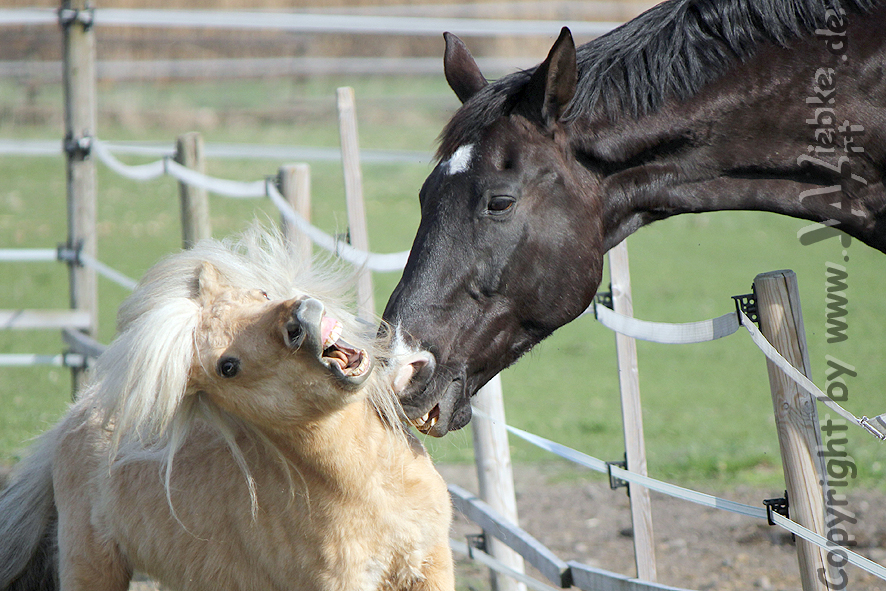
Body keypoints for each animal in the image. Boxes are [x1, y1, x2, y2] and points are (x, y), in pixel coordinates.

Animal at [0, 229, 448, 591]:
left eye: (261, 295)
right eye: (227, 367)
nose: (302, 321)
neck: (371, 490)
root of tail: (76, 414)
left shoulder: (432, 567)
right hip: (91, 567)